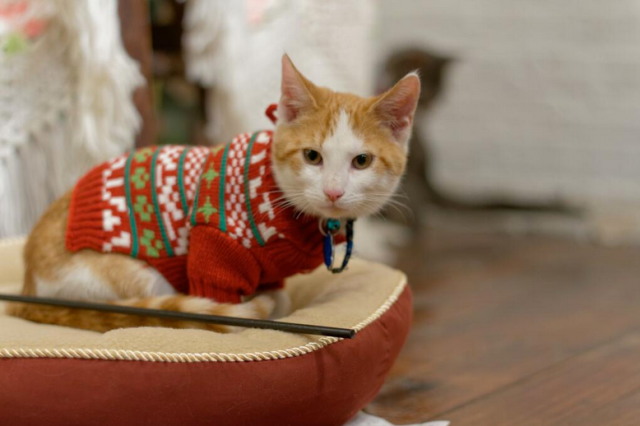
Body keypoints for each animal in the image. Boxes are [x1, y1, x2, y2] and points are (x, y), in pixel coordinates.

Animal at [8, 54, 420, 332]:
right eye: (312, 156)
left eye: (361, 161)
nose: (333, 192)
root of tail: (29, 283)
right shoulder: (214, 249)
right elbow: (227, 307)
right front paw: (254, 313)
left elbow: (281, 295)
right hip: (134, 279)